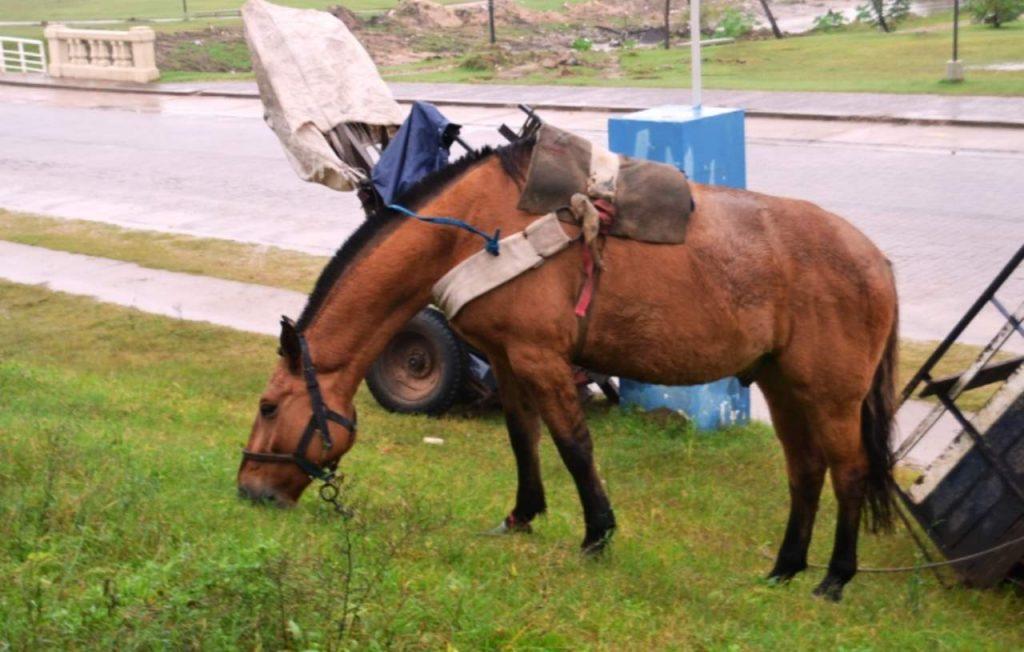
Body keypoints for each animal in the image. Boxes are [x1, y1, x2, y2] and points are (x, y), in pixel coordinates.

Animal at [237, 138, 899, 601]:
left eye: (268, 406)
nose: (249, 491)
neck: (476, 227)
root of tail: (876, 258)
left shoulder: (540, 357)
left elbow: (574, 445)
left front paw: (596, 536)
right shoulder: (507, 361)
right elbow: (523, 439)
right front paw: (521, 517)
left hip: (831, 397)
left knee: (848, 473)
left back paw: (834, 578)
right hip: (784, 387)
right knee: (805, 472)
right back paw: (784, 569)